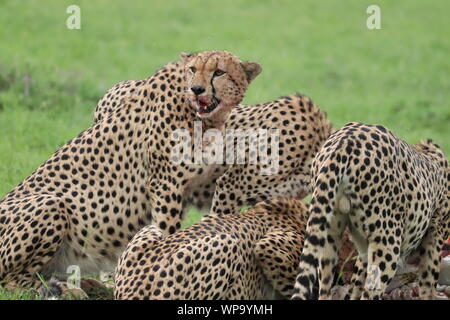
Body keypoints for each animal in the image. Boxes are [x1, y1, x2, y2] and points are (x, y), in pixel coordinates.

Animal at [0, 50, 260, 290]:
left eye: (219, 72)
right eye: (193, 69)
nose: (196, 89)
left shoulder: (202, 183)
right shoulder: (166, 185)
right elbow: (167, 229)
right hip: (52, 205)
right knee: (12, 282)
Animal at [290, 122, 448, 300]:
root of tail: (344, 140)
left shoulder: (364, 249)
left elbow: (357, 281)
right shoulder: (434, 236)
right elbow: (428, 281)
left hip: (327, 235)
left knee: (325, 288)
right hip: (388, 243)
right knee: (371, 292)